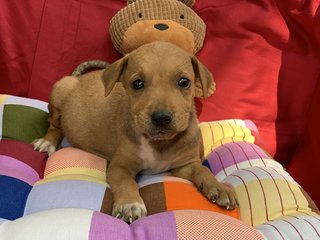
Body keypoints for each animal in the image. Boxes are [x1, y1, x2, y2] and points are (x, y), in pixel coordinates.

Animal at [33, 41, 238, 223]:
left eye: (184, 82)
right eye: (137, 84)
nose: (161, 118)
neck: (159, 143)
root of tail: (77, 78)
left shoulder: (185, 165)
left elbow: (203, 169)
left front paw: (220, 187)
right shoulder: (119, 167)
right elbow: (127, 182)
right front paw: (130, 205)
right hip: (59, 92)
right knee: (54, 125)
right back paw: (48, 142)